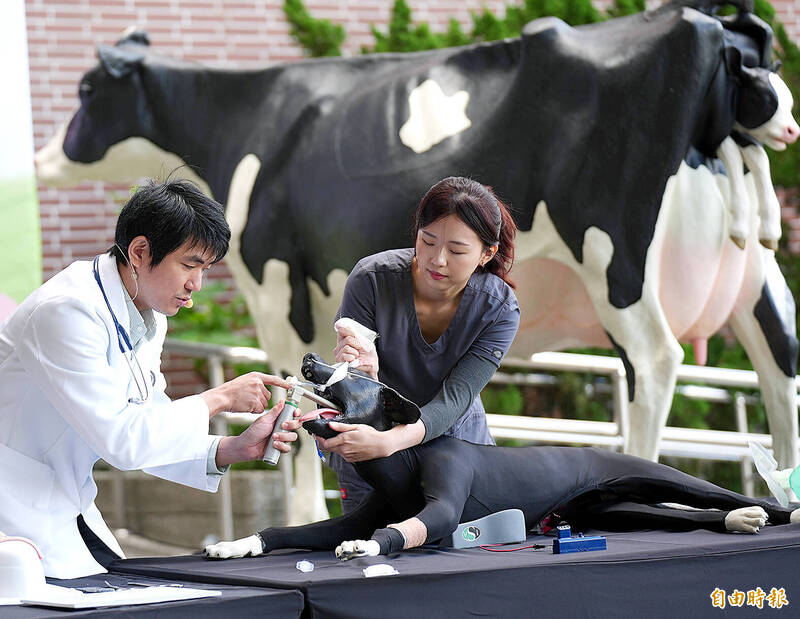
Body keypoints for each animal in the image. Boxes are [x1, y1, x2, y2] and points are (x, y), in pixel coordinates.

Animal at [34, 1, 800, 498]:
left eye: (86, 88)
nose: (39, 161)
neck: (249, 117)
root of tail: (713, 28)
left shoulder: (274, 283)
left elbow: (299, 442)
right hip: (756, 274)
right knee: (781, 362)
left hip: (615, 255)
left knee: (656, 359)